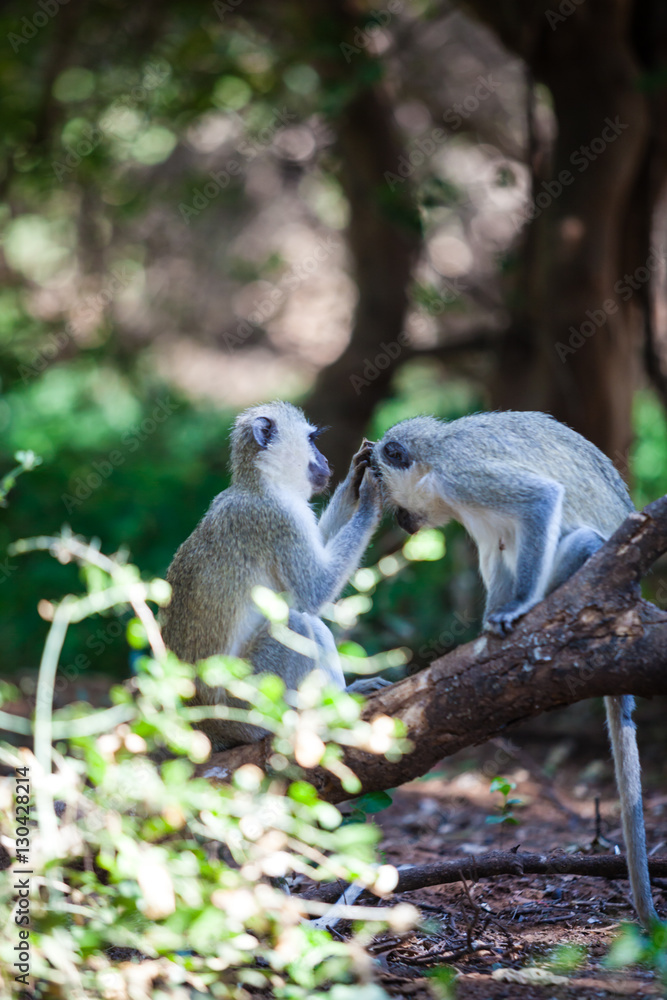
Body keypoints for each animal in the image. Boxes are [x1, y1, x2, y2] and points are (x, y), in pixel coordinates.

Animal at [162, 401, 387, 753]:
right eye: (311, 440)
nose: (326, 461)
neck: (262, 484)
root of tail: (206, 727)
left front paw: (354, 479)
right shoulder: (277, 519)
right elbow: (314, 591)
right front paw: (368, 497)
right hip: (247, 705)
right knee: (298, 623)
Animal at [372, 410, 657, 928]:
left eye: (389, 494)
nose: (402, 523)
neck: (435, 457)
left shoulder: (463, 475)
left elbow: (539, 501)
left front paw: (518, 606)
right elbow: (499, 549)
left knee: (580, 541)